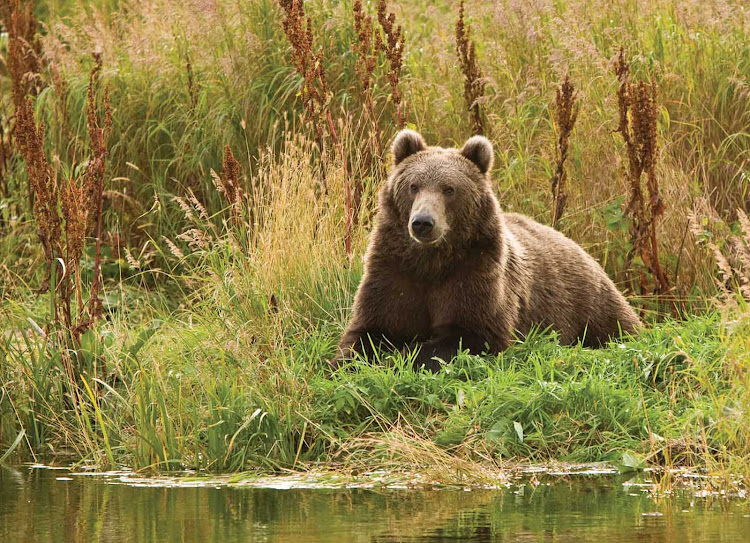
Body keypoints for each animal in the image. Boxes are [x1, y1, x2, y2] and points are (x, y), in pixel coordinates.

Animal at [334, 130, 640, 372]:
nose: (422, 222)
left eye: (449, 189)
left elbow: (471, 333)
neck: (431, 261)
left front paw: (404, 356)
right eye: (413, 186)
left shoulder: (476, 273)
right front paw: (349, 361)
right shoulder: (393, 271)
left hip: (588, 302)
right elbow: (370, 328)